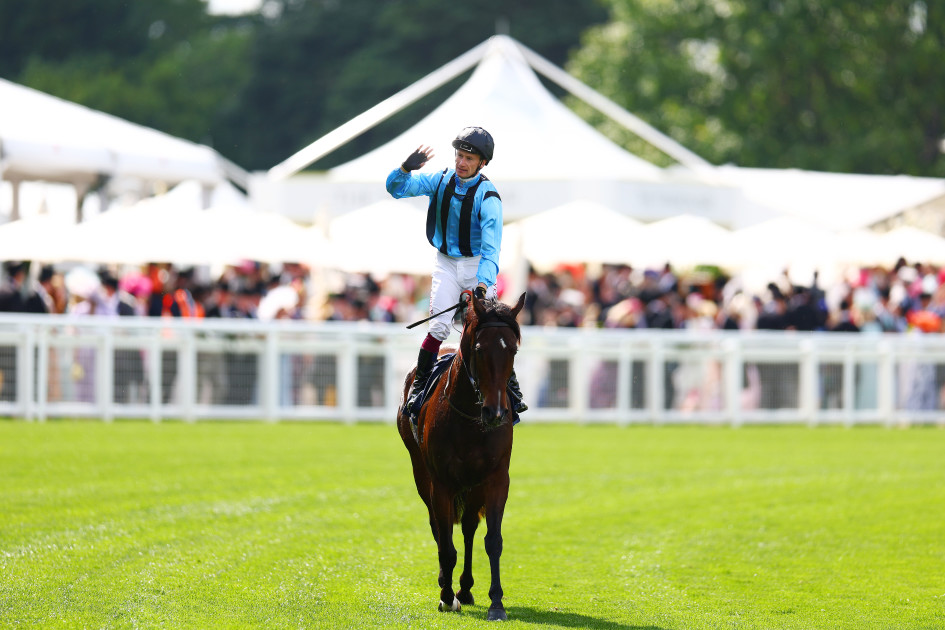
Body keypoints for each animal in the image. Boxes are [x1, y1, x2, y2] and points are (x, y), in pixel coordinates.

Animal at [396, 290, 528, 624]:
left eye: (513, 350)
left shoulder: (496, 479)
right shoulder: (441, 482)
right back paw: (448, 585)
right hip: (422, 475)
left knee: (468, 527)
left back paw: (465, 588)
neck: (470, 416)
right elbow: (445, 542)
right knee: (438, 528)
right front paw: (446, 597)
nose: (496, 413)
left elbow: (492, 540)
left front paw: (496, 603)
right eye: (479, 349)